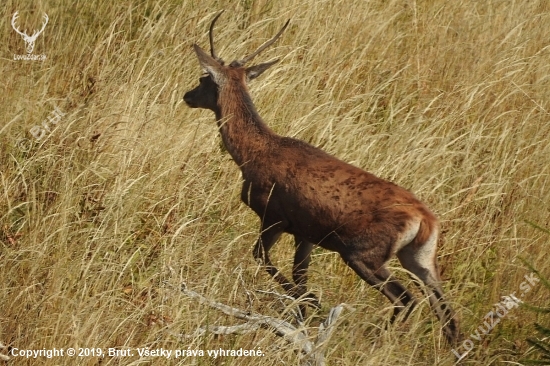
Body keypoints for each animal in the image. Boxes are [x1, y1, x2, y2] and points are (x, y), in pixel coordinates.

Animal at [184, 10, 462, 344]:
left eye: (203, 78)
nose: (187, 96)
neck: (253, 154)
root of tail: (425, 219)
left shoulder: (274, 215)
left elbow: (263, 258)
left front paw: (313, 306)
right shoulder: (306, 232)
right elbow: (299, 276)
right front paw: (306, 311)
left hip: (363, 253)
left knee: (405, 298)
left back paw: (374, 339)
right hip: (421, 259)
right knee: (448, 315)